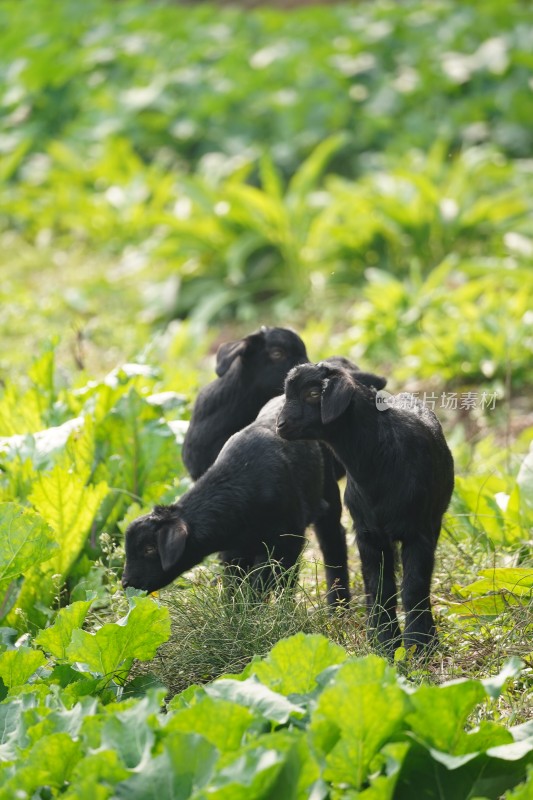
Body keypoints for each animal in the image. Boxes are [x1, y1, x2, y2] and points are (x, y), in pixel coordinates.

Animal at [122, 396, 332, 596]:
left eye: (149, 549)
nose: (125, 583)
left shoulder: (284, 541)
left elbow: (265, 584)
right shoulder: (233, 552)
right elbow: (235, 587)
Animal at [276, 366, 456, 652]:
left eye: (313, 393)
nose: (280, 425)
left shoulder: (418, 531)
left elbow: (414, 586)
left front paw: (419, 644)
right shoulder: (367, 534)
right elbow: (380, 587)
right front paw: (384, 642)